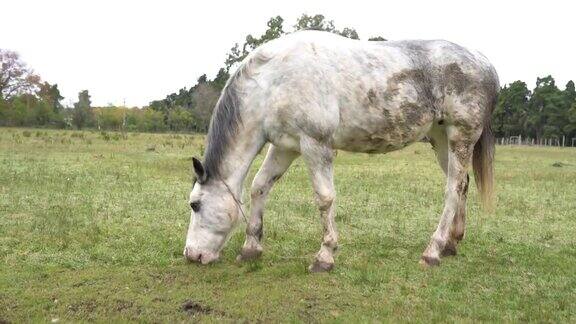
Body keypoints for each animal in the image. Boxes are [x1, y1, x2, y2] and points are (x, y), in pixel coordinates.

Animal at [182, 30, 498, 272]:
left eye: (195, 204)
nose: (192, 254)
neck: (274, 82)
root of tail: (485, 63)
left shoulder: (315, 145)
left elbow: (324, 199)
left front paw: (325, 256)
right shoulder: (285, 147)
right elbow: (260, 187)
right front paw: (251, 248)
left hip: (460, 137)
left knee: (452, 189)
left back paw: (432, 251)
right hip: (441, 139)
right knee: (462, 184)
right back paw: (451, 244)